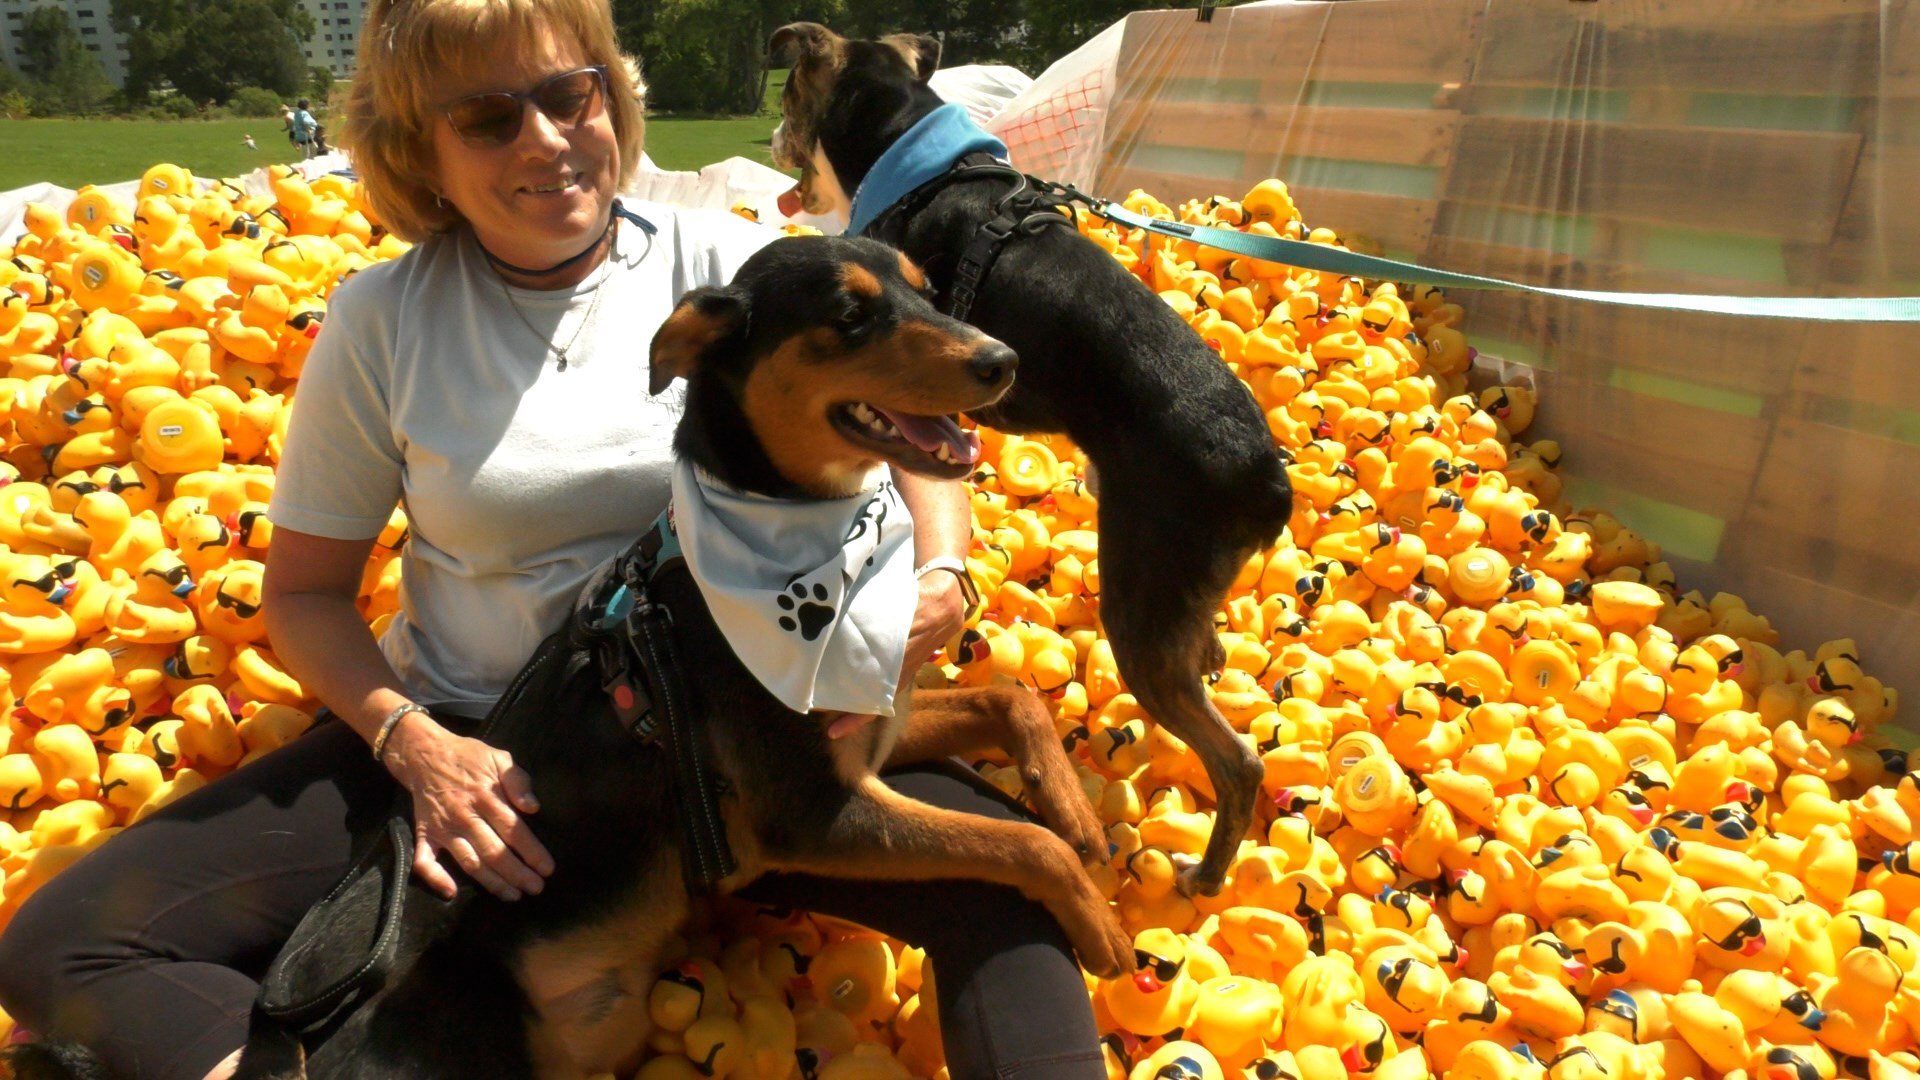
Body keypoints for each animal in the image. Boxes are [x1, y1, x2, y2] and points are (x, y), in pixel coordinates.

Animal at [764, 27, 1290, 899]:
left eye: (790, 94)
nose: (771, 139)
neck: (916, 153)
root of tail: (1270, 480)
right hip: (1177, 599)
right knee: (1208, 656)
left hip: (1140, 606)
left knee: (1239, 762)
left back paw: (1205, 876)